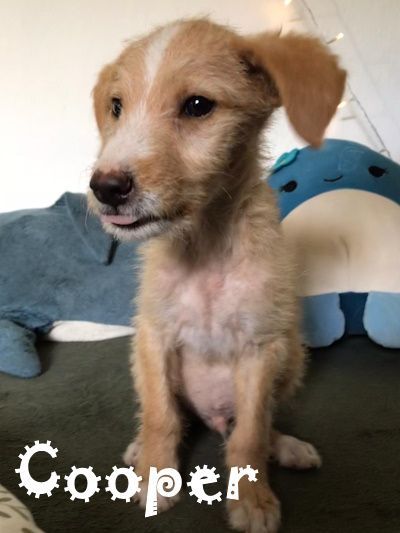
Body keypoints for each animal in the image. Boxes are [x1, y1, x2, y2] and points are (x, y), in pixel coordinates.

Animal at [88, 18, 345, 532]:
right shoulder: (153, 335)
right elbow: (161, 415)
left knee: (253, 425)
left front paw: (252, 498)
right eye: (117, 107)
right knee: (172, 413)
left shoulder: (261, 348)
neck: (204, 244)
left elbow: (250, 435)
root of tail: (213, 415)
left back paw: (286, 447)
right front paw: (155, 475)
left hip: (292, 358)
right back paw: (140, 449)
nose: (105, 187)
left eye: (197, 106)